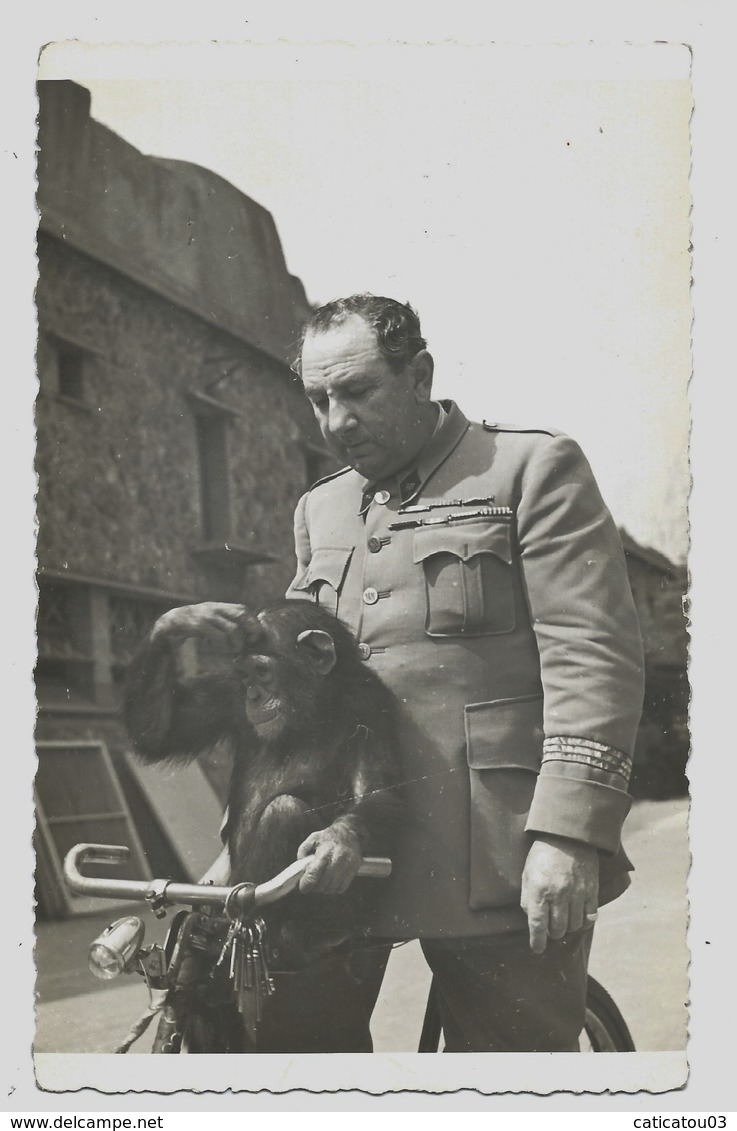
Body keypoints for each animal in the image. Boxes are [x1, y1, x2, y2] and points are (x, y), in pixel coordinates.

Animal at [122, 601, 402, 990]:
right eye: (245, 676)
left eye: (262, 671)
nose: (254, 695)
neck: (317, 703)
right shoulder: (227, 694)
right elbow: (157, 734)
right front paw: (188, 620)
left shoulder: (372, 703)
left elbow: (380, 792)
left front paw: (336, 843)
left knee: (284, 811)